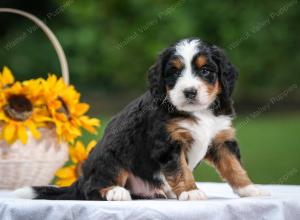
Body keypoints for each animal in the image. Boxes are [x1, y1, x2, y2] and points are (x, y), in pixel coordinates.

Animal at [14, 38, 270, 201]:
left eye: (205, 70)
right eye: (173, 72)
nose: (189, 92)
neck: (199, 112)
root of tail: (81, 177)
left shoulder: (220, 138)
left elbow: (234, 167)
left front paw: (250, 189)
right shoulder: (168, 143)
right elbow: (181, 170)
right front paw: (190, 191)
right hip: (112, 157)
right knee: (91, 189)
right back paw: (115, 192)